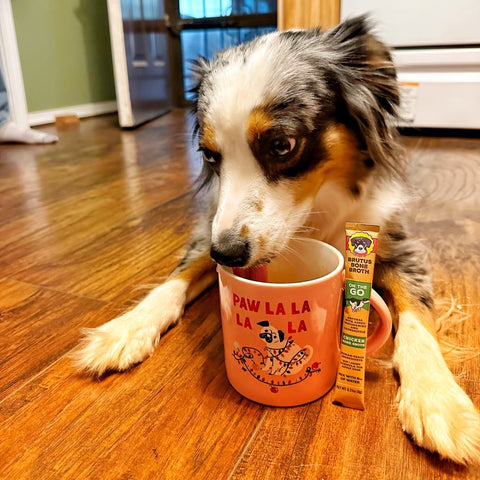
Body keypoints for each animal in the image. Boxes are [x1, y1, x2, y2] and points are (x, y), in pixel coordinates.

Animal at [72, 15, 480, 464]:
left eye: (282, 145)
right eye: (209, 155)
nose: (228, 255)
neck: (315, 214)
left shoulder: (397, 245)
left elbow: (417, 317)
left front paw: (438, 400)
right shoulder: (209, 231)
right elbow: (175, 278)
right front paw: (124, 330)